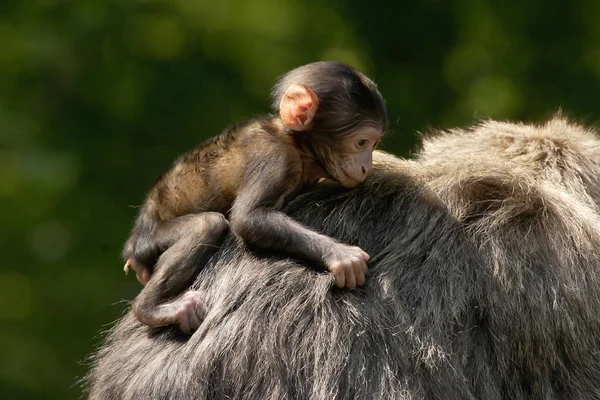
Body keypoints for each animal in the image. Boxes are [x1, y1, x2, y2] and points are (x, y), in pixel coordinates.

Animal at [124, 61, 386, 332]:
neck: (297, 143)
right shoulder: (274, 157)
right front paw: (340, 255)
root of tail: (135, 243)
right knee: (206, 225)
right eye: (361, 142)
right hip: (152, 240)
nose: (366, 167)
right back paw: (149, 309)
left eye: (374, 144)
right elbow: (247, 218)